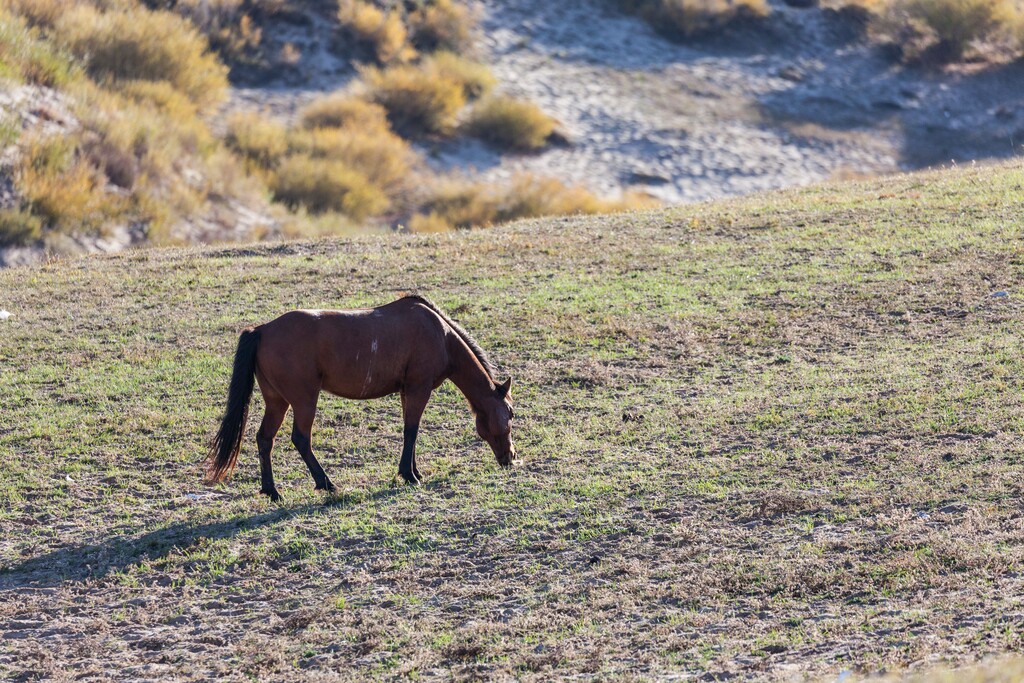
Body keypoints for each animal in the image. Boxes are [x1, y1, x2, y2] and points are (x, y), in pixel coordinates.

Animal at [204, 294, 516, 501]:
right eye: (511, 414)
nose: (511, 458)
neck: (440, 333)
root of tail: (262, 330)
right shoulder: (419, 388)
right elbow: (412, 430)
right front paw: (409, 475)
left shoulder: (407, 391)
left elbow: (410, 431)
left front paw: (412, 471)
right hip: (304, 401)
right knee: (301, 439)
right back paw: (326, 483)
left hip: (277, 402)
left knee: (264, 439)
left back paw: (272, 491)